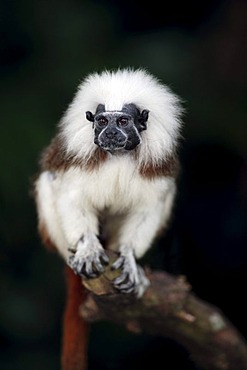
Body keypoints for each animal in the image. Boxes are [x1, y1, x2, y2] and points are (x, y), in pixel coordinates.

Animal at [33, 68, 182, 368]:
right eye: (102, 122)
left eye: (123, 121)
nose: (110, 132)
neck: (118, 155)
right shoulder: (76, 160)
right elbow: (72, 196)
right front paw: (88, 248)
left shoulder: (157, 169)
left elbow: (149, 208)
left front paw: (129, 257)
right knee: (48, 181)